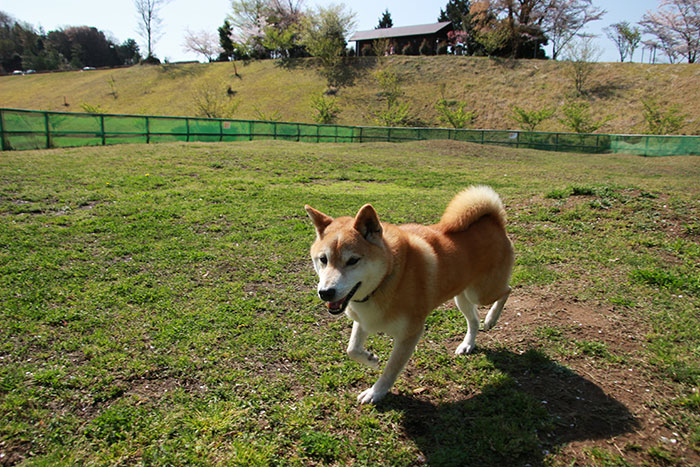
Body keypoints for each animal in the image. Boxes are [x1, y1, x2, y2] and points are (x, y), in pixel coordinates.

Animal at [306, 186, 516, 406]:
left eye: (353, 260)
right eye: (323, 259)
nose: (325, 292)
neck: (388, 277)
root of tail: (494, 221)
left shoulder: (410, 333)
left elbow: (391, 369)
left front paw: (375, 392)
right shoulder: (364, 319)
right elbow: (352, 349)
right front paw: (371, 359)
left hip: (481, 293)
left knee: (507, 291)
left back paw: (491, 319)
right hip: (462, 296)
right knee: (474, 320)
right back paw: (468, 344)